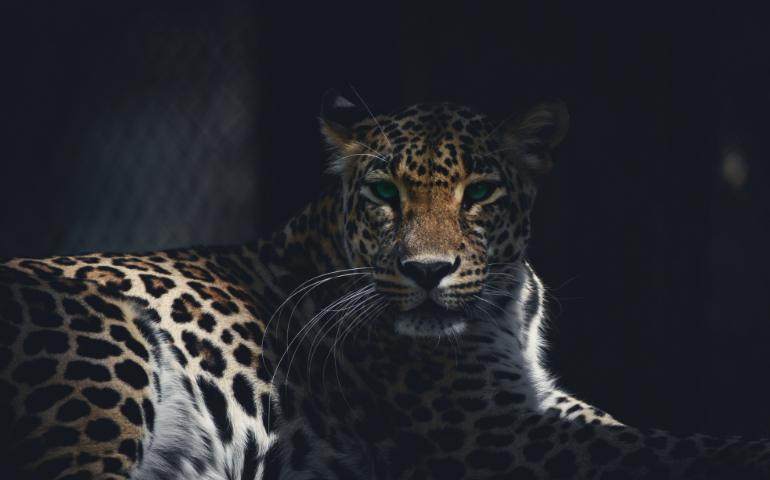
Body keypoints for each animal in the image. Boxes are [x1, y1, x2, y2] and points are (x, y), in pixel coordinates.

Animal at [1, 90, 769, 480]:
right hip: (104, 347)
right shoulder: (495, 430)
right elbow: (656, 445)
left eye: (479, 192)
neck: (506, 305)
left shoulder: (531, 399)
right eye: (383, 192)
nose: (427, 272)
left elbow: (625, 427)